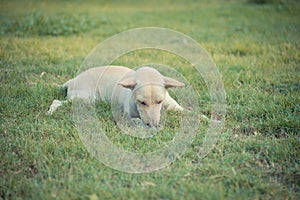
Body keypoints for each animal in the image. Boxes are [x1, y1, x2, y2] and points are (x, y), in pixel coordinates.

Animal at [47, 66, 184, 127]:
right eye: (141, 102)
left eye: (159, 101)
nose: (153, 125)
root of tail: (72, 80)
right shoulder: (126, 114)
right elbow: (132, 119)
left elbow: (183, 111)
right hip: (84, 98)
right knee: (56, 101)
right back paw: (50, 112)